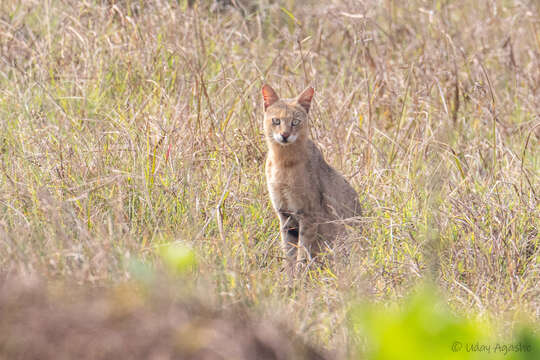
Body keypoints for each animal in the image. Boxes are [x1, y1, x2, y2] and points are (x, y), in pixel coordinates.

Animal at [262, 84, 360, 270]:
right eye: (276, 121)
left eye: (295, 121)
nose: (284, 135)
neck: (283, 163)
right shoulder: (285, 216)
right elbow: (289, 253)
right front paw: (288, 276)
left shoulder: (308, 215)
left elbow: (302, 252)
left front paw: (300, 274)